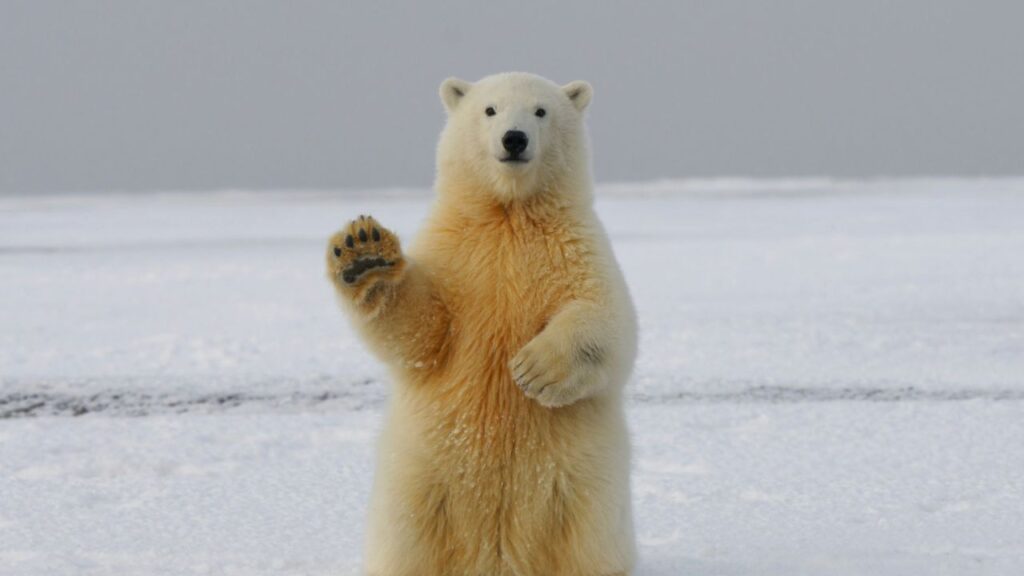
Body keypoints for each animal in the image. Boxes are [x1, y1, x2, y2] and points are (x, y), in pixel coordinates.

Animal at [326, 72, 637, 576]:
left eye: (540, 111)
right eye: (490, 110)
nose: (514, 139)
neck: (509, 214)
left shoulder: (576, 249)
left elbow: (608, 319)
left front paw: (533, 370)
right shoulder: (455, 255)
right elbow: (422, 330)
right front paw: (364, 252)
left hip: (584, 493)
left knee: (588, 550)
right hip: (418, 484)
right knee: (407, 544)